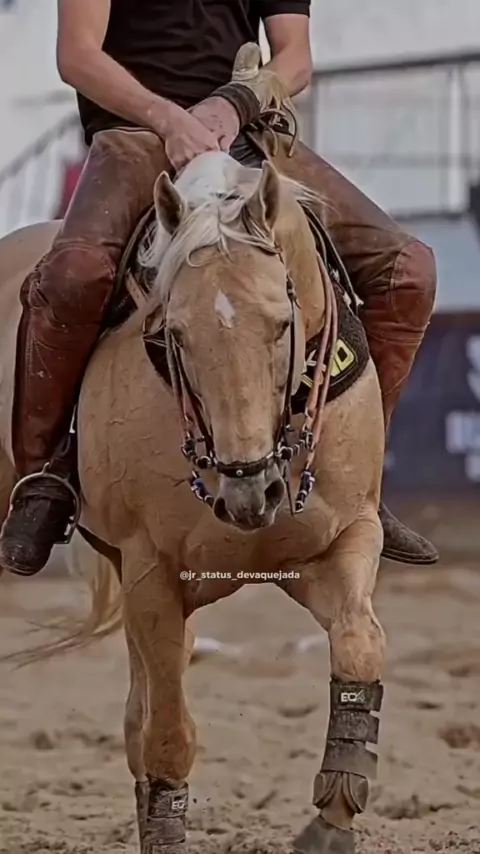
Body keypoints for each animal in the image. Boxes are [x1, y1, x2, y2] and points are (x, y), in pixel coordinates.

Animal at [0, 150, 386, 854]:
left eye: (283, 324)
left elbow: (360, 644)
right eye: (175, 333)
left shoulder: (347, 537)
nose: (250, 491)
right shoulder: (151, 571)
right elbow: (170, 735)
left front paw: (334, 814)